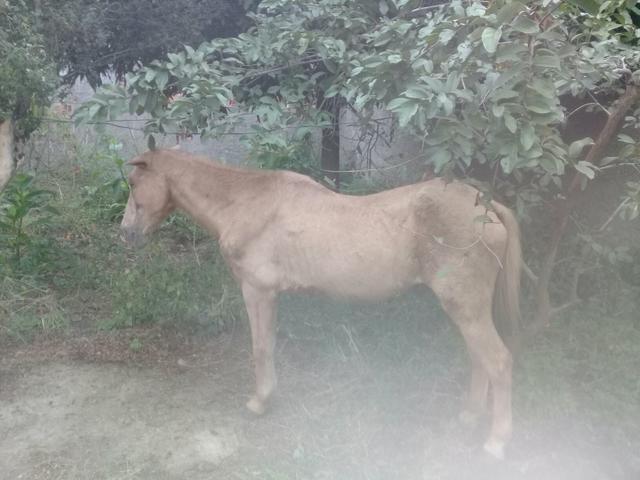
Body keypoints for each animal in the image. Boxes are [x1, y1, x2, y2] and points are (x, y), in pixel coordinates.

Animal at [120, 148, 521, 459]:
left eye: (133, 183)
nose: (126, 233)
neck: (247, 202)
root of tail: (487, 208)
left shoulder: (257, 291)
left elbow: (261, 347)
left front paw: (260, 402)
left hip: (465, 309)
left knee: (498, 361)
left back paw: (497, 441)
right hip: (466, 311)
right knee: (479, 359)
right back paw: (470, 416)